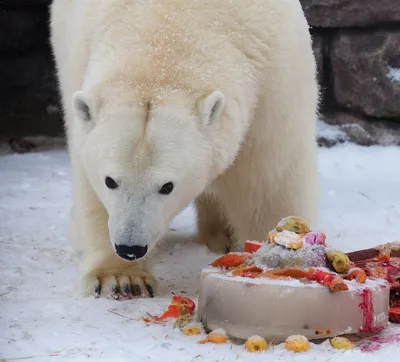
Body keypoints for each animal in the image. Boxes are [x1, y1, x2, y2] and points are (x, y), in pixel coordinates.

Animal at [50, 0, 318, 300]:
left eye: (167, 186)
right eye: (110, 181)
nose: (130, 248)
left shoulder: (272, 82)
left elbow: (268, 181)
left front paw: (276, 258)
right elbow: (90, 186)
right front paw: (119, 278)